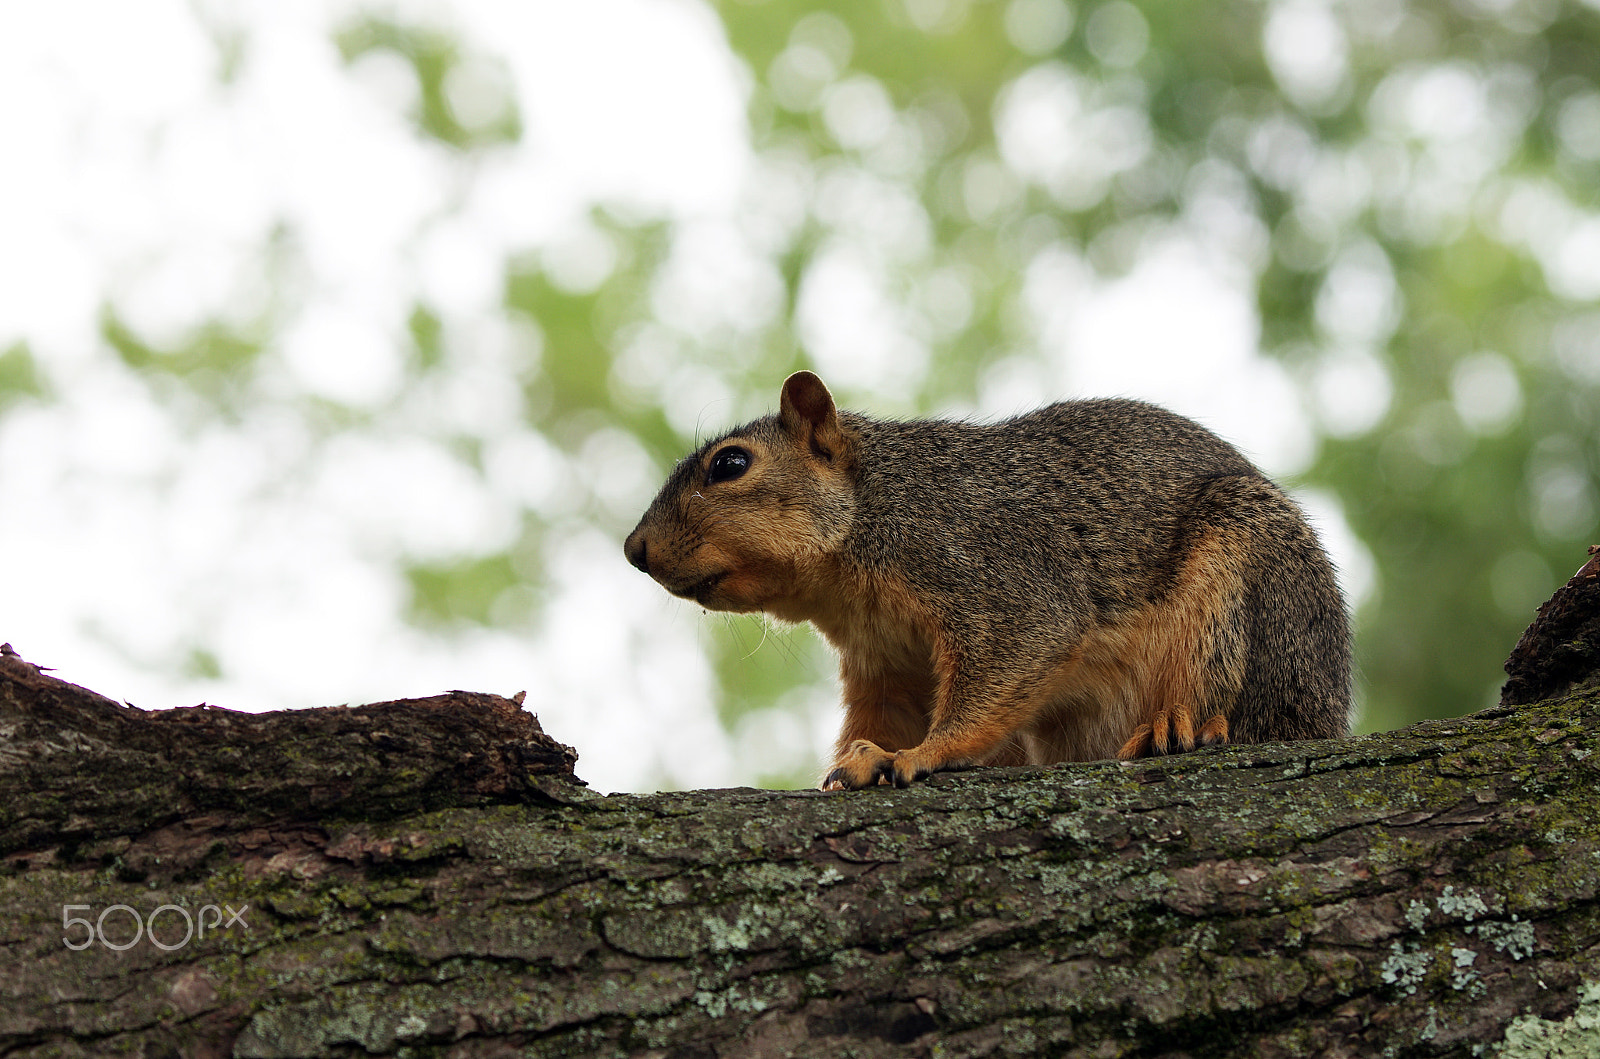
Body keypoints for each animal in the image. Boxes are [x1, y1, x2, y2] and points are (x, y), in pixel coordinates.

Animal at [624, 369, 1350, 793]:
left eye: (731, 464)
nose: (634, 549)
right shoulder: (887, 662)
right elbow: (887, 717)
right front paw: (861, 761)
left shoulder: (990, 565)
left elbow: (1014, 654)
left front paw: (922, 754)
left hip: (1246, 577)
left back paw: (1178, 725)